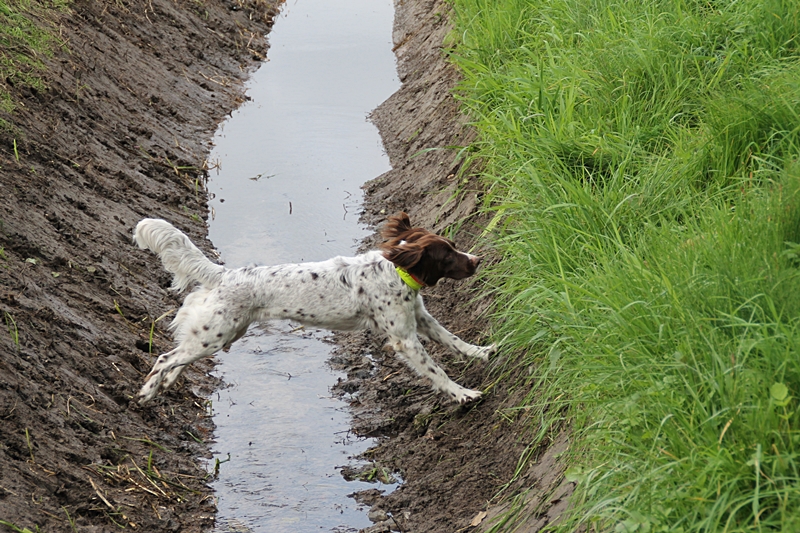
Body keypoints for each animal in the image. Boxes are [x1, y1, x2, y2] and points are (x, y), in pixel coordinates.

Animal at [134, 212, 494, 404]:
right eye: (447, 256)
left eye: (454, 246)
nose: (477, 260)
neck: (395, 270)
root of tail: (225, 274)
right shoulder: (404, 338)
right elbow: (437, 370)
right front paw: (463, 394)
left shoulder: (418, 317)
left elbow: (454, 340)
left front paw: (483, 352)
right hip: (216, 335)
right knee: (164, 358)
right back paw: (148, 391)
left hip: (219, 334)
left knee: (177, 358)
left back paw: (165, 384)